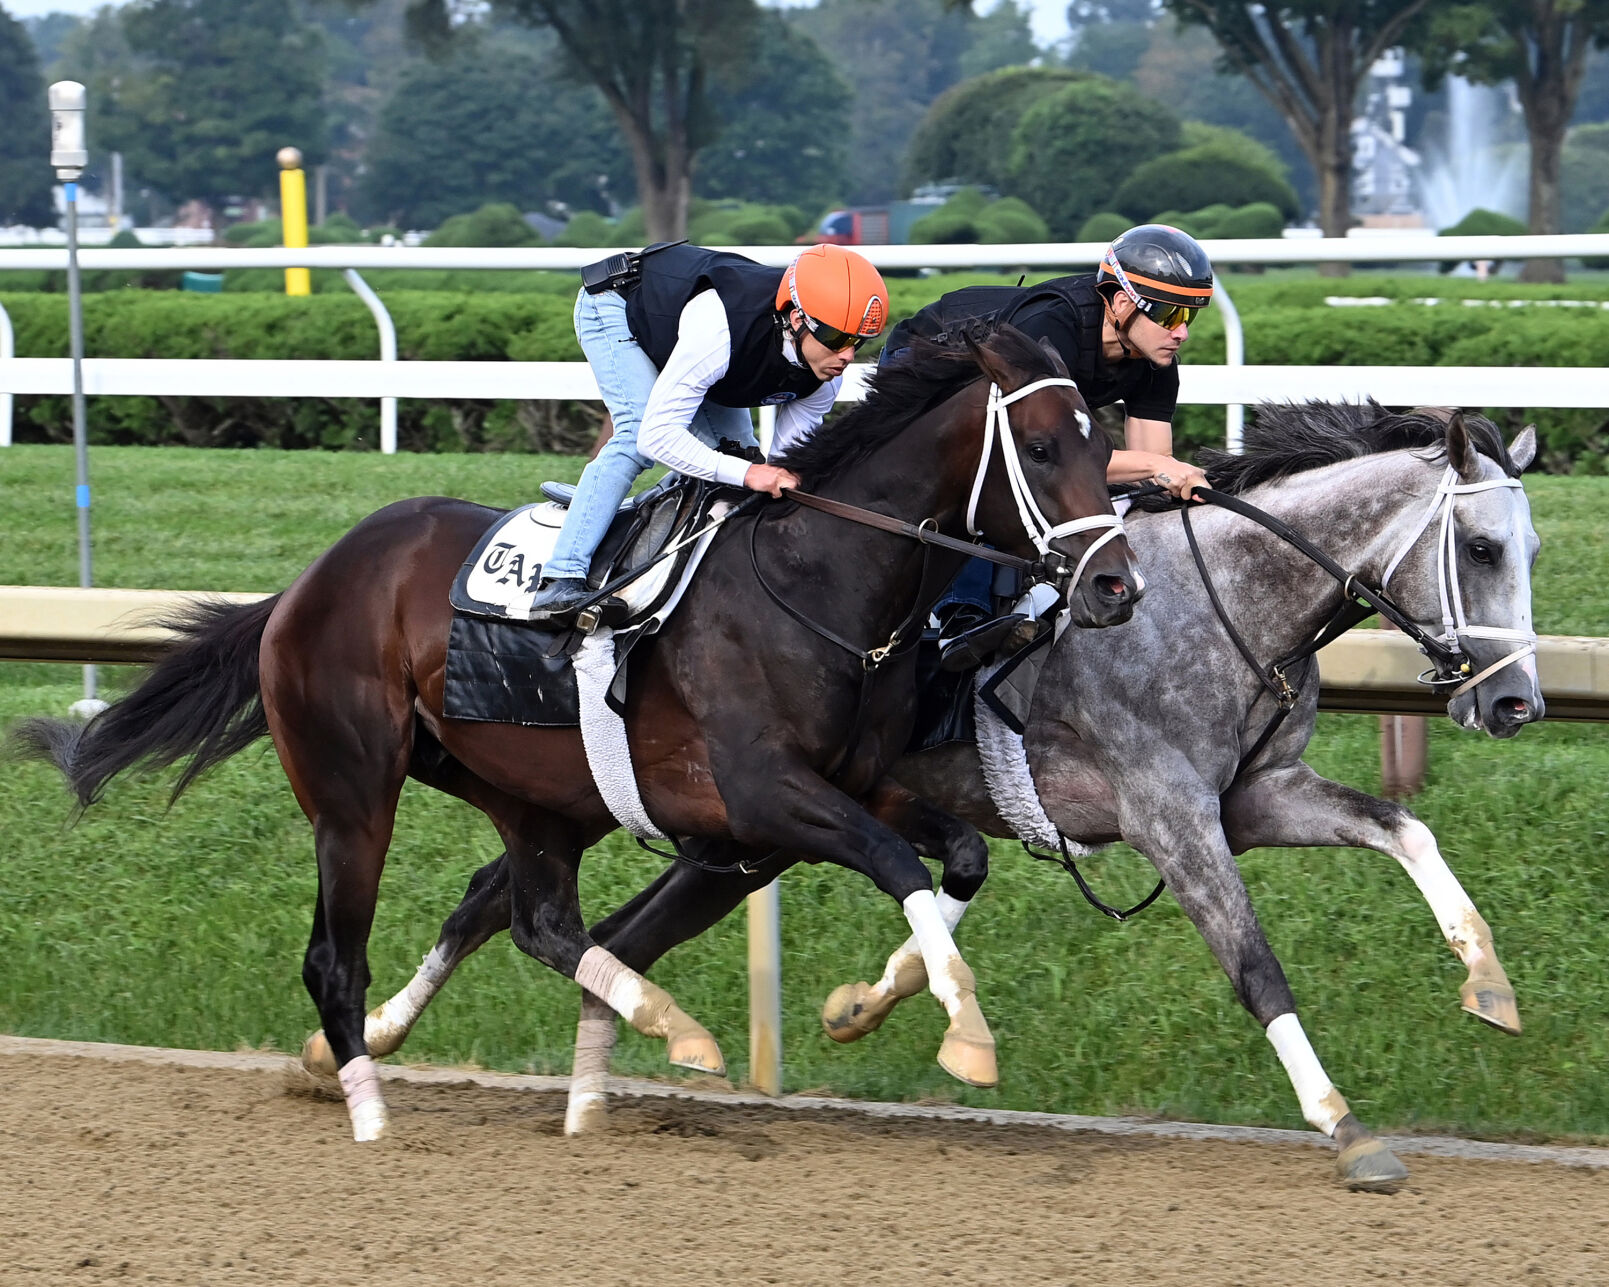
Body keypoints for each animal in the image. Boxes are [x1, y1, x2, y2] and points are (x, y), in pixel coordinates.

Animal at [15, 326, 1145, 1138]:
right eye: (1041, 447)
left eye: (1106, 444)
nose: (1115, 586)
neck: (818, 583)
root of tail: (303, 584)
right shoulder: (762, 795)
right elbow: (896, 863)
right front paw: (966, 1034)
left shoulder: (847, 787)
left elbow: (956, 857)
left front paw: (877, 1002)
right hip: (352, 793)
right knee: (344, 955)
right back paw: (372, 1108)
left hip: (537, 793)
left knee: (535, 919)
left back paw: (642, 1039)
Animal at [307, 398, 1538, 1184]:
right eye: (1480, 548)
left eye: (1530, 548)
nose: (1518, 702)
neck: (1221, 601)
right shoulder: (1172, 816)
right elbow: (1254, 964)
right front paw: (1342, 1124)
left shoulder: (1253, 796)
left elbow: (1403, 827)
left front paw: (1488, 983)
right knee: (528, 909)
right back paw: (370, 1043)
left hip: (726, 838)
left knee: (552, 913)